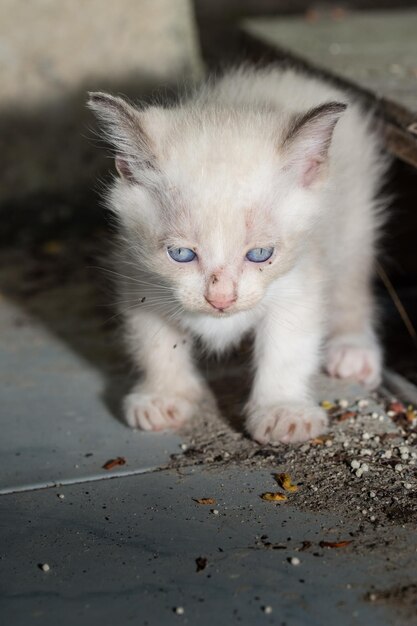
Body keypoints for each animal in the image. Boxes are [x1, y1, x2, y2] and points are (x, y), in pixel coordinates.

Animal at [88, 64, 386, 444]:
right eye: (181, 254)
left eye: (259, 253)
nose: (221, 299)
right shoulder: (139, 280)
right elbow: (155, 345)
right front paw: (164, 396)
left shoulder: (300, 283)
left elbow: (287, 350)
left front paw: (282, 410)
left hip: (354, 225)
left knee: (352, 285)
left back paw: (352, 350)